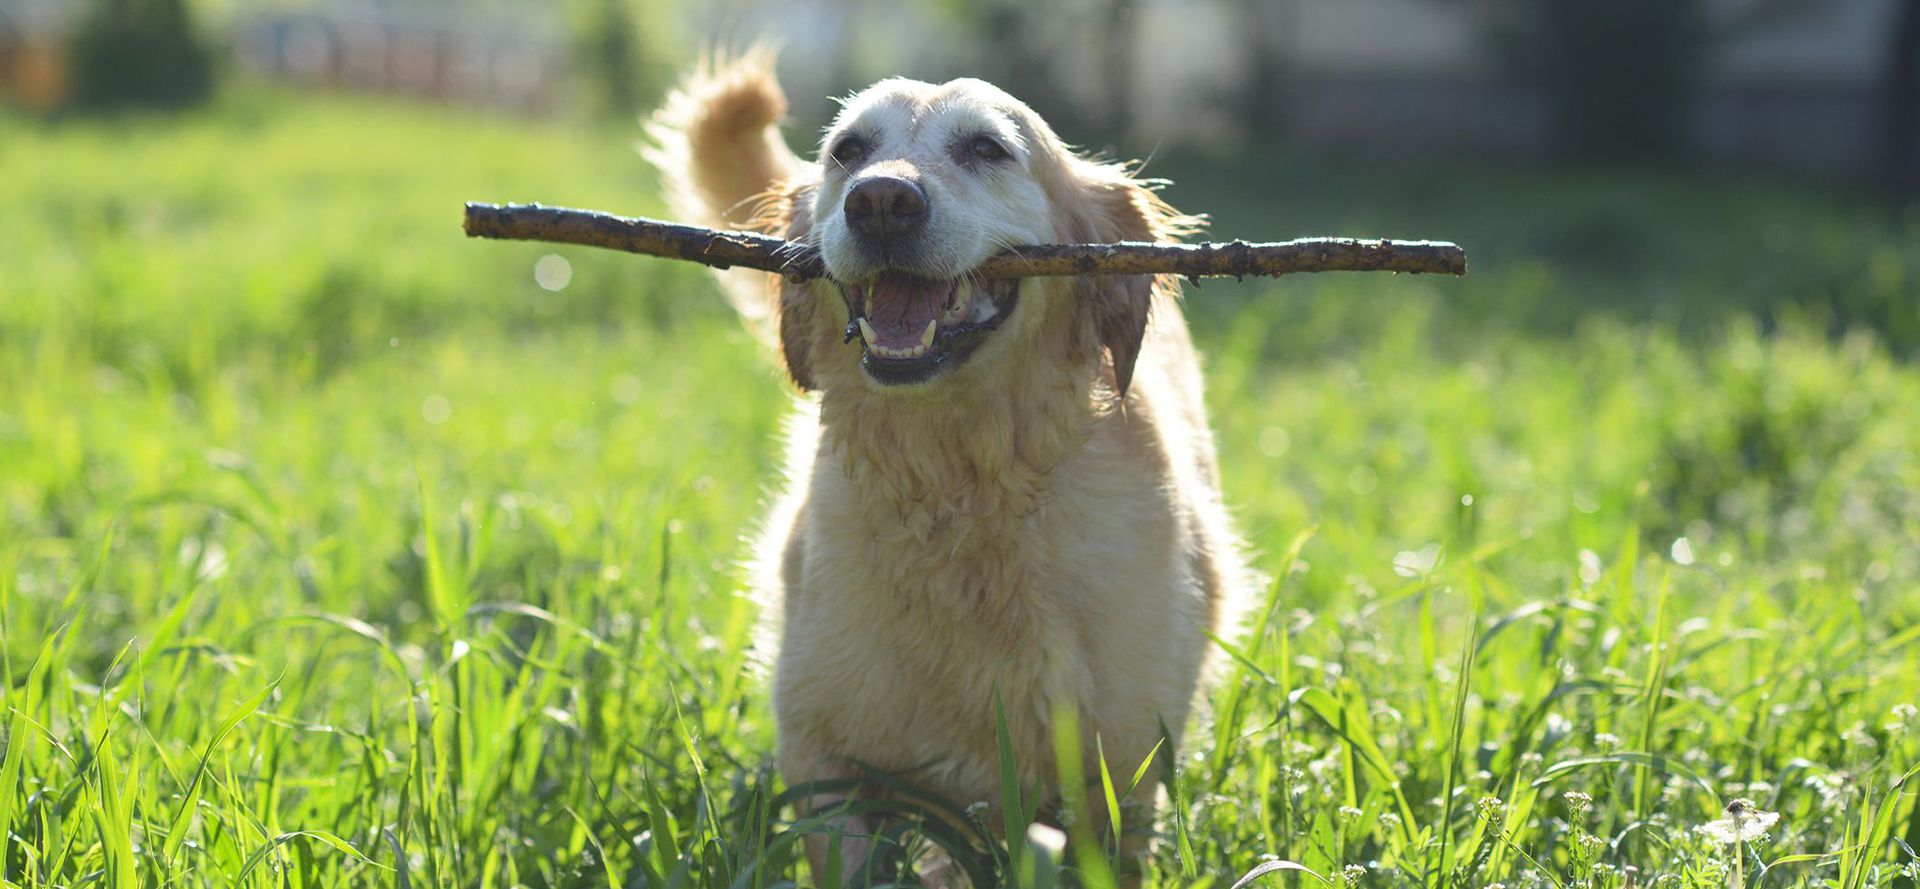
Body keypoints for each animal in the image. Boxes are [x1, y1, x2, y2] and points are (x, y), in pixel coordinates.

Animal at [645, 54, 1251, 883]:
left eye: (987, 148)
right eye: (848, 151)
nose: (881, 202)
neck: (961, 483)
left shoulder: (1122, 771)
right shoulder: (827, 758)